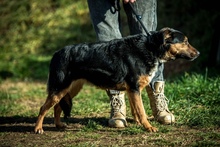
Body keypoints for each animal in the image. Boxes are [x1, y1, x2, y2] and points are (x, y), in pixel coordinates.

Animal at [34, 27, 199, 134]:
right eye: (185, 42)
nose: (198, 53)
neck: (150, 48)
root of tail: (57, 53)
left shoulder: (133, 90)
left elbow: (136, 110)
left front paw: (138, 124)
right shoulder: (134, 89)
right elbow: (142, 111)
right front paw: (148, 127)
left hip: (70, 89)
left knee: (57, 107)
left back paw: (58, 125)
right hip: (60, 88)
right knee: (43, 108)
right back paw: (38, 128)